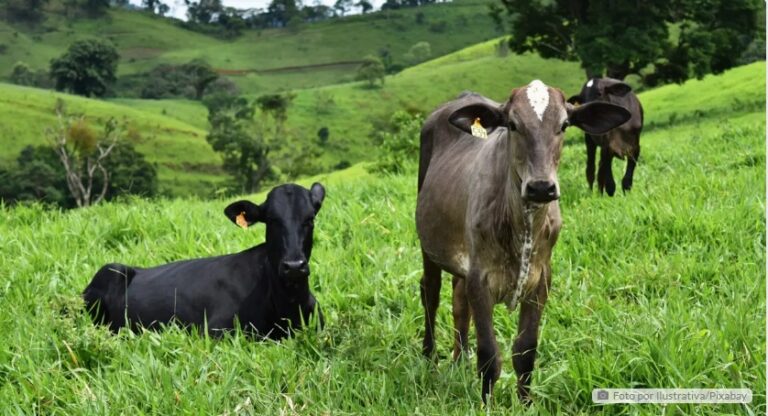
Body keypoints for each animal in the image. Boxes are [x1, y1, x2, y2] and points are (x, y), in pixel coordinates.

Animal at [82, 184, 326, 340]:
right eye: (272, 220)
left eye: (310, 219)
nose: (294, 266)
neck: (288, 306)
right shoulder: (214, 331)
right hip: (111, 271)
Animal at [414, 81, 632, 404]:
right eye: (513, 125)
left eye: (564, 125)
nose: (541, 187)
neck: (522, 225)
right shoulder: (480, 279)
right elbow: (489, 354)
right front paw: (486, 404)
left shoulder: (540, 280)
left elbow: (526, 350)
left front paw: (526, 402)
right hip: (428, 246)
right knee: (430, 293)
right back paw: (429, 357)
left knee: (458, 301)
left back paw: (459, 359)